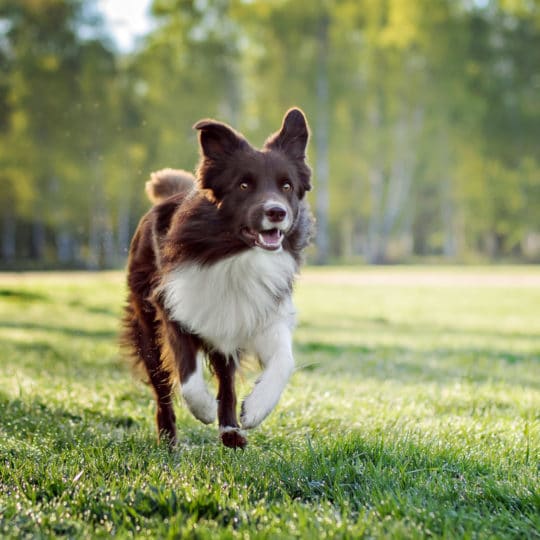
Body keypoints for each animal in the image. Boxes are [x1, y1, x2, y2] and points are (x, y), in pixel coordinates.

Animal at [122, 107, 314, 450]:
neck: (237, 256)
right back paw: (169, 439)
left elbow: (284, 360)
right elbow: (187, 372)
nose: (277, 212)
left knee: (226, 379)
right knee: (162, 385)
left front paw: (256, 409)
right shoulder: (175, 305)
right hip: (146, 322)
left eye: (287, 186)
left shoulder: (264, 312)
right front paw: (201, 408)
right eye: (244, 185)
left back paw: (230, 430)